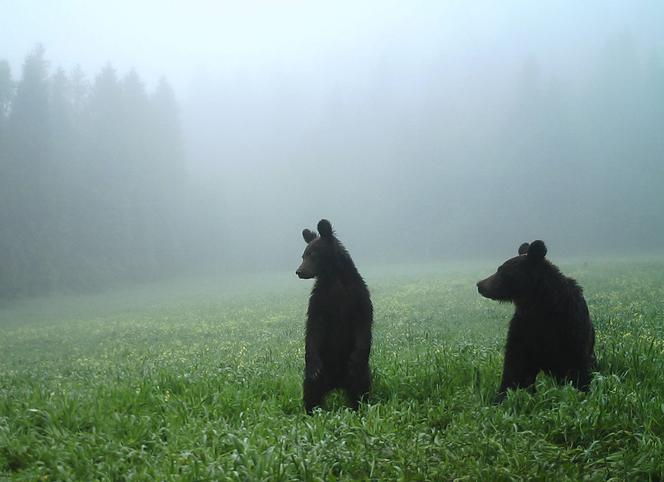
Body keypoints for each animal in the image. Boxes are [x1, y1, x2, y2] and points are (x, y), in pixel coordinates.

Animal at [296, 220, 374, 412]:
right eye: (303, 255)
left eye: (312, 254)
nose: (299, 271)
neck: (335, 279)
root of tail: (337, 383)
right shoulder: (320, 300)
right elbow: (313, 328)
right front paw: (313, 367)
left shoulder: (357, 296)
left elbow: (364, 322)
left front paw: (355, 360)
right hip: (324, 370)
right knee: (311, 388)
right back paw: (310, 409)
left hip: (360, 374)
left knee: (361, 386)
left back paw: (359, 406)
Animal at [478, 241, 596, 402]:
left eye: (501, 270)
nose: (480, 284)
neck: (537, 303)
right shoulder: (524, 327)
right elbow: (515, 365)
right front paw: (502, 396)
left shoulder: (568, 326)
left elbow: (576, 364)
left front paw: (580, 392)